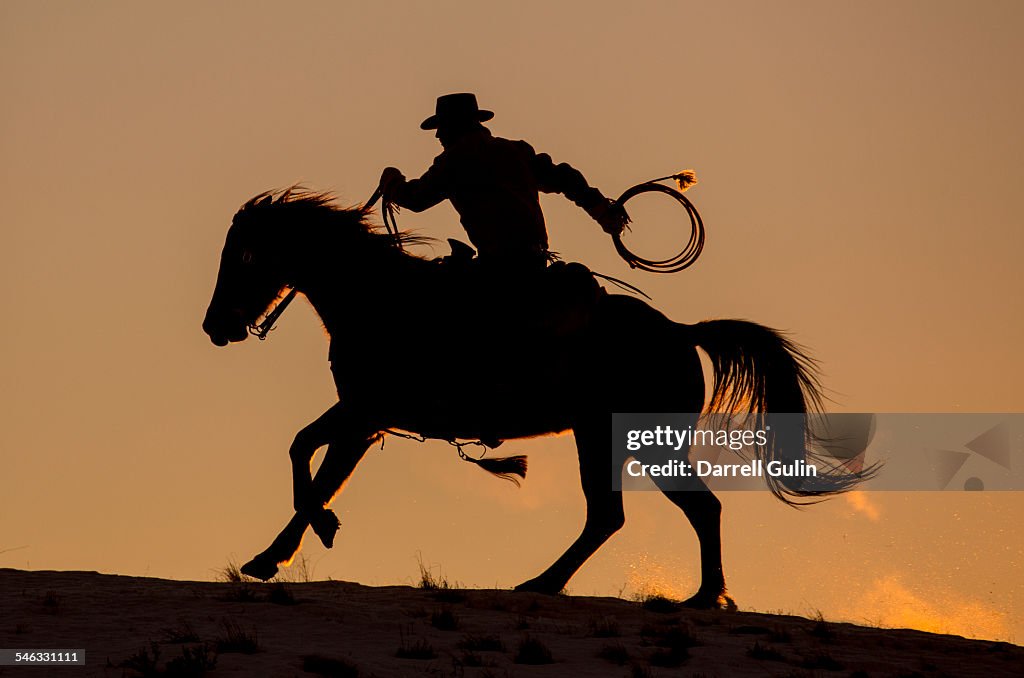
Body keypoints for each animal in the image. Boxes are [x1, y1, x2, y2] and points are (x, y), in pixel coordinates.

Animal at [201, 188, 871, 609]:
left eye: (246, 255)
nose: (215, 326)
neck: (380, 298)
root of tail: (682, 333)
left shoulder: (366, 414)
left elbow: (313, 468)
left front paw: (304, 536)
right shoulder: (364, 416)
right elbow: (304, 452)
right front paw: (282, 549)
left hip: (633, 441)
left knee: (685, 510)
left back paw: (693, 595)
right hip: (606, 438)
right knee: (619, 515)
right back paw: (558, 585)